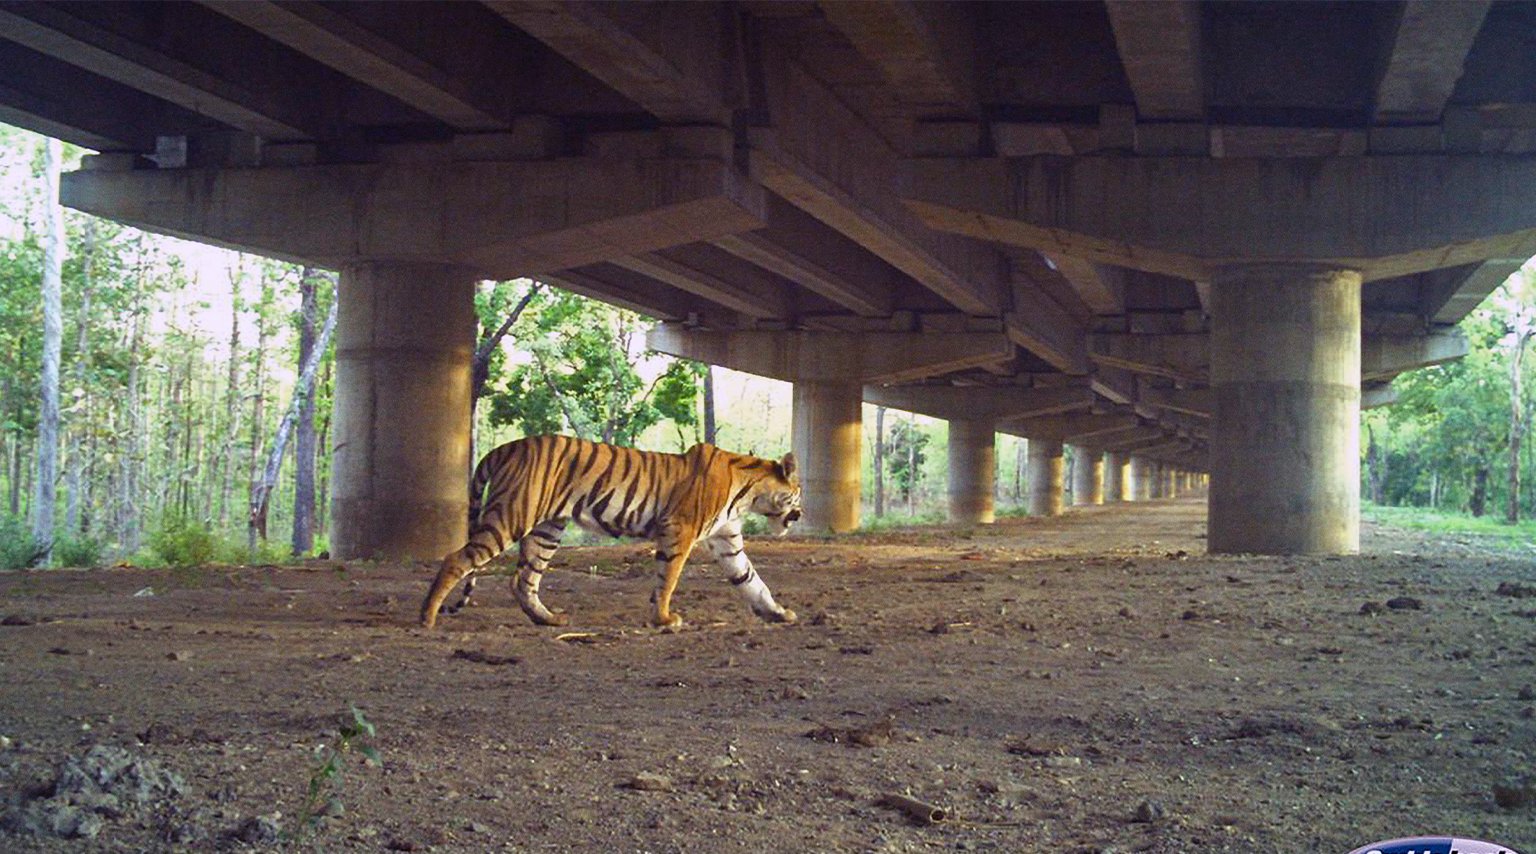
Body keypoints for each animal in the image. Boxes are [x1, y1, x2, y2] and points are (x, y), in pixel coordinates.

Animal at [419, 434, 802, 630]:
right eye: (798, 492)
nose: (800, 514)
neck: (749, 494)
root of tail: (505, 447)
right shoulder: (680, 529)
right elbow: (668, 578)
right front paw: (665, 618)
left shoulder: (727, 540)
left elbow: (752, 580)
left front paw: (778, 612)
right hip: (511, 515)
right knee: (457, 559)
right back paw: (428, 617)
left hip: (547, 528)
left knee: (522, 581)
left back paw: (549, 619)